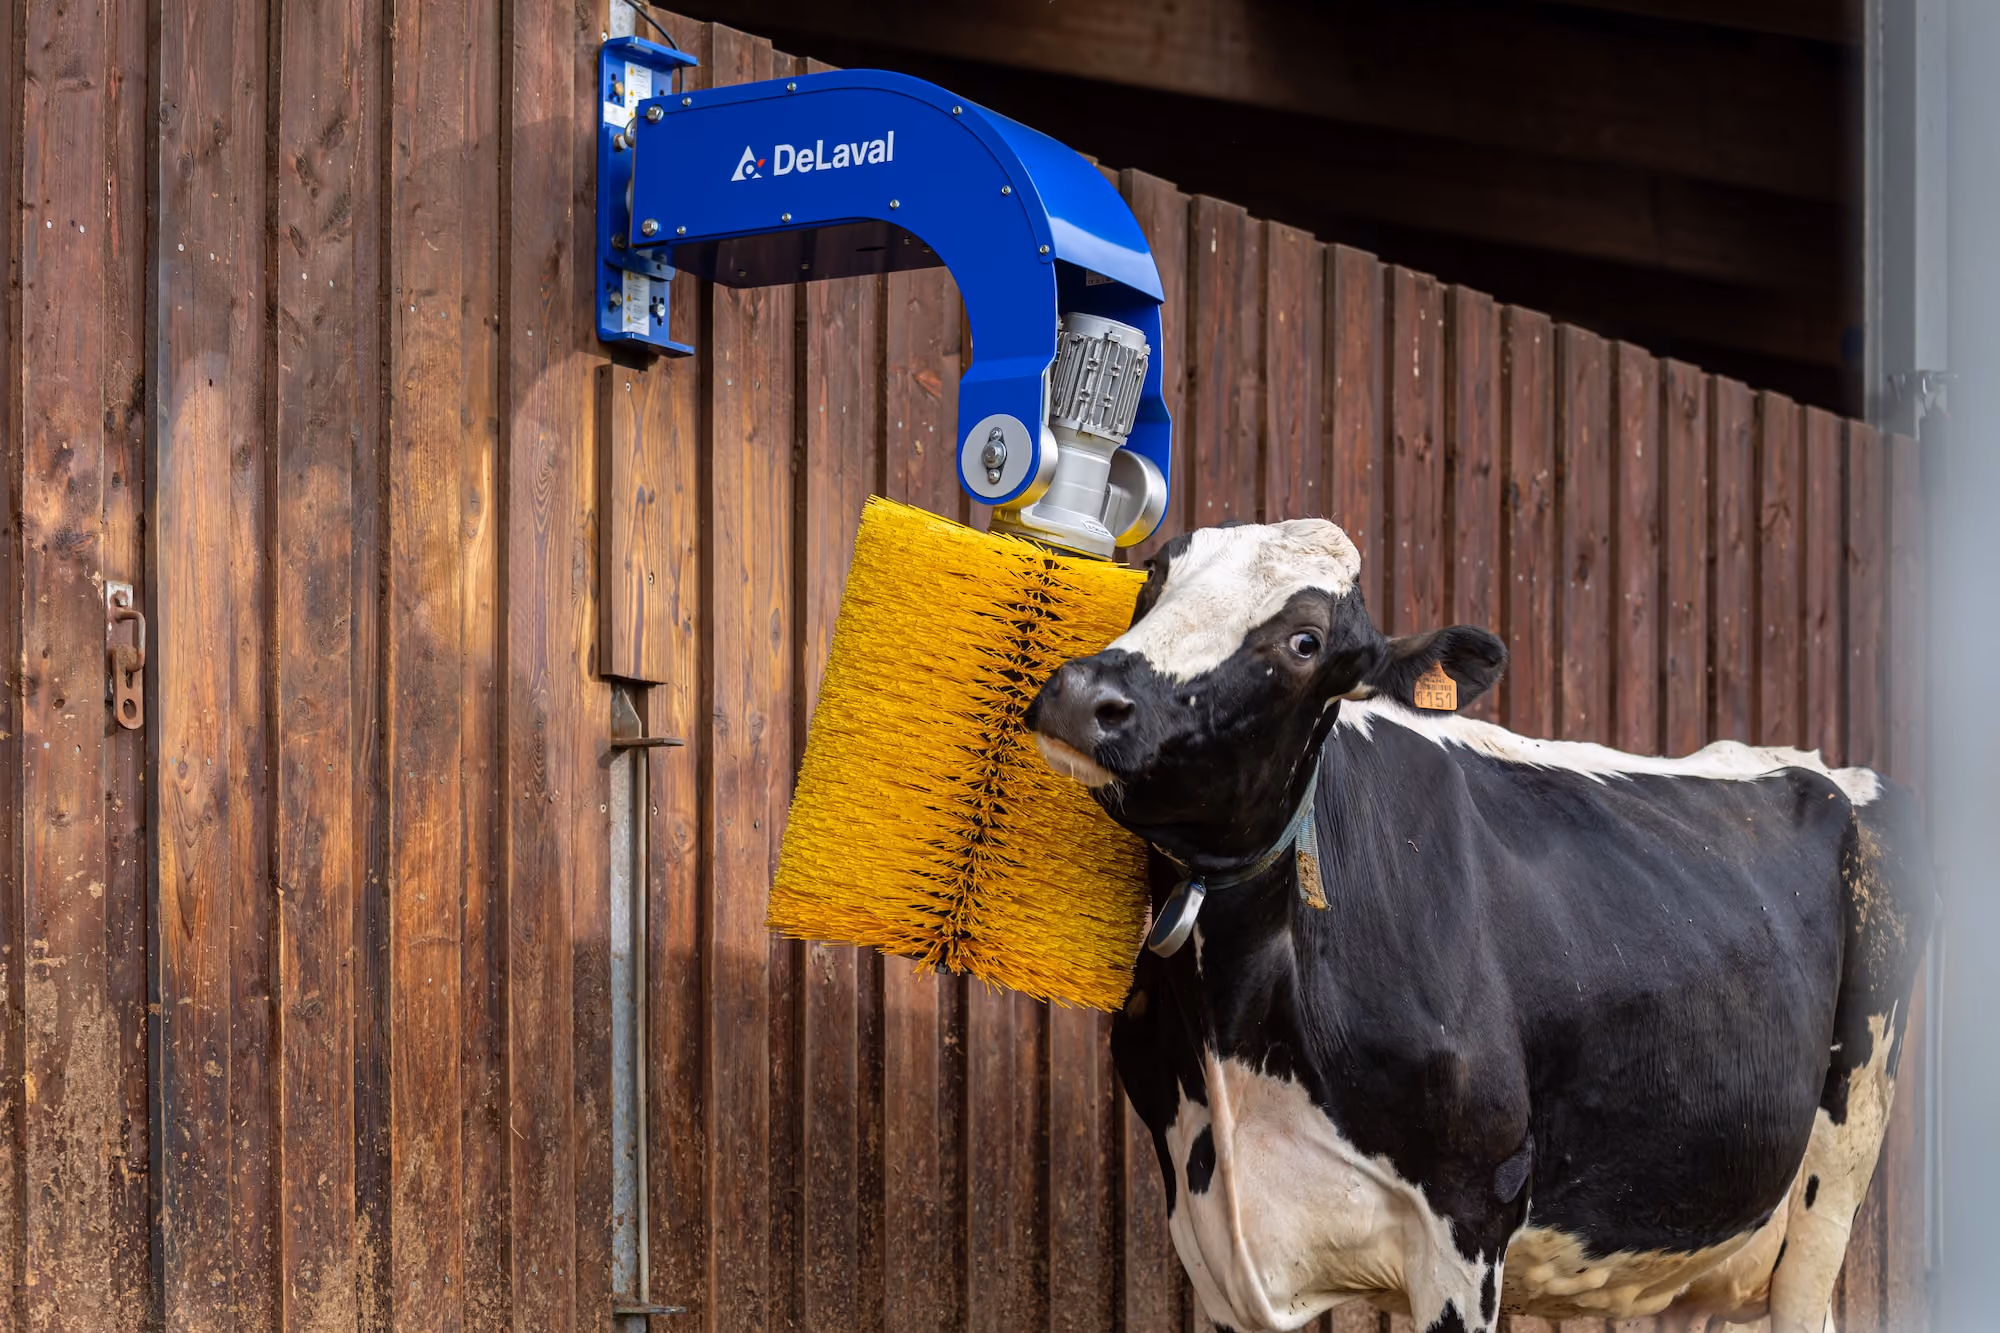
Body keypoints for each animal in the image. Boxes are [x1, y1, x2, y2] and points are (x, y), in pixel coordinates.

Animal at [1024, 518, 1933, 1333]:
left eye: (1306, 640)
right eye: (1155, 574)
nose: (1084, 696)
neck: (1237, 1036)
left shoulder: (1470, 1214)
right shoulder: (1205, 1224)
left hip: (1835, 1176)